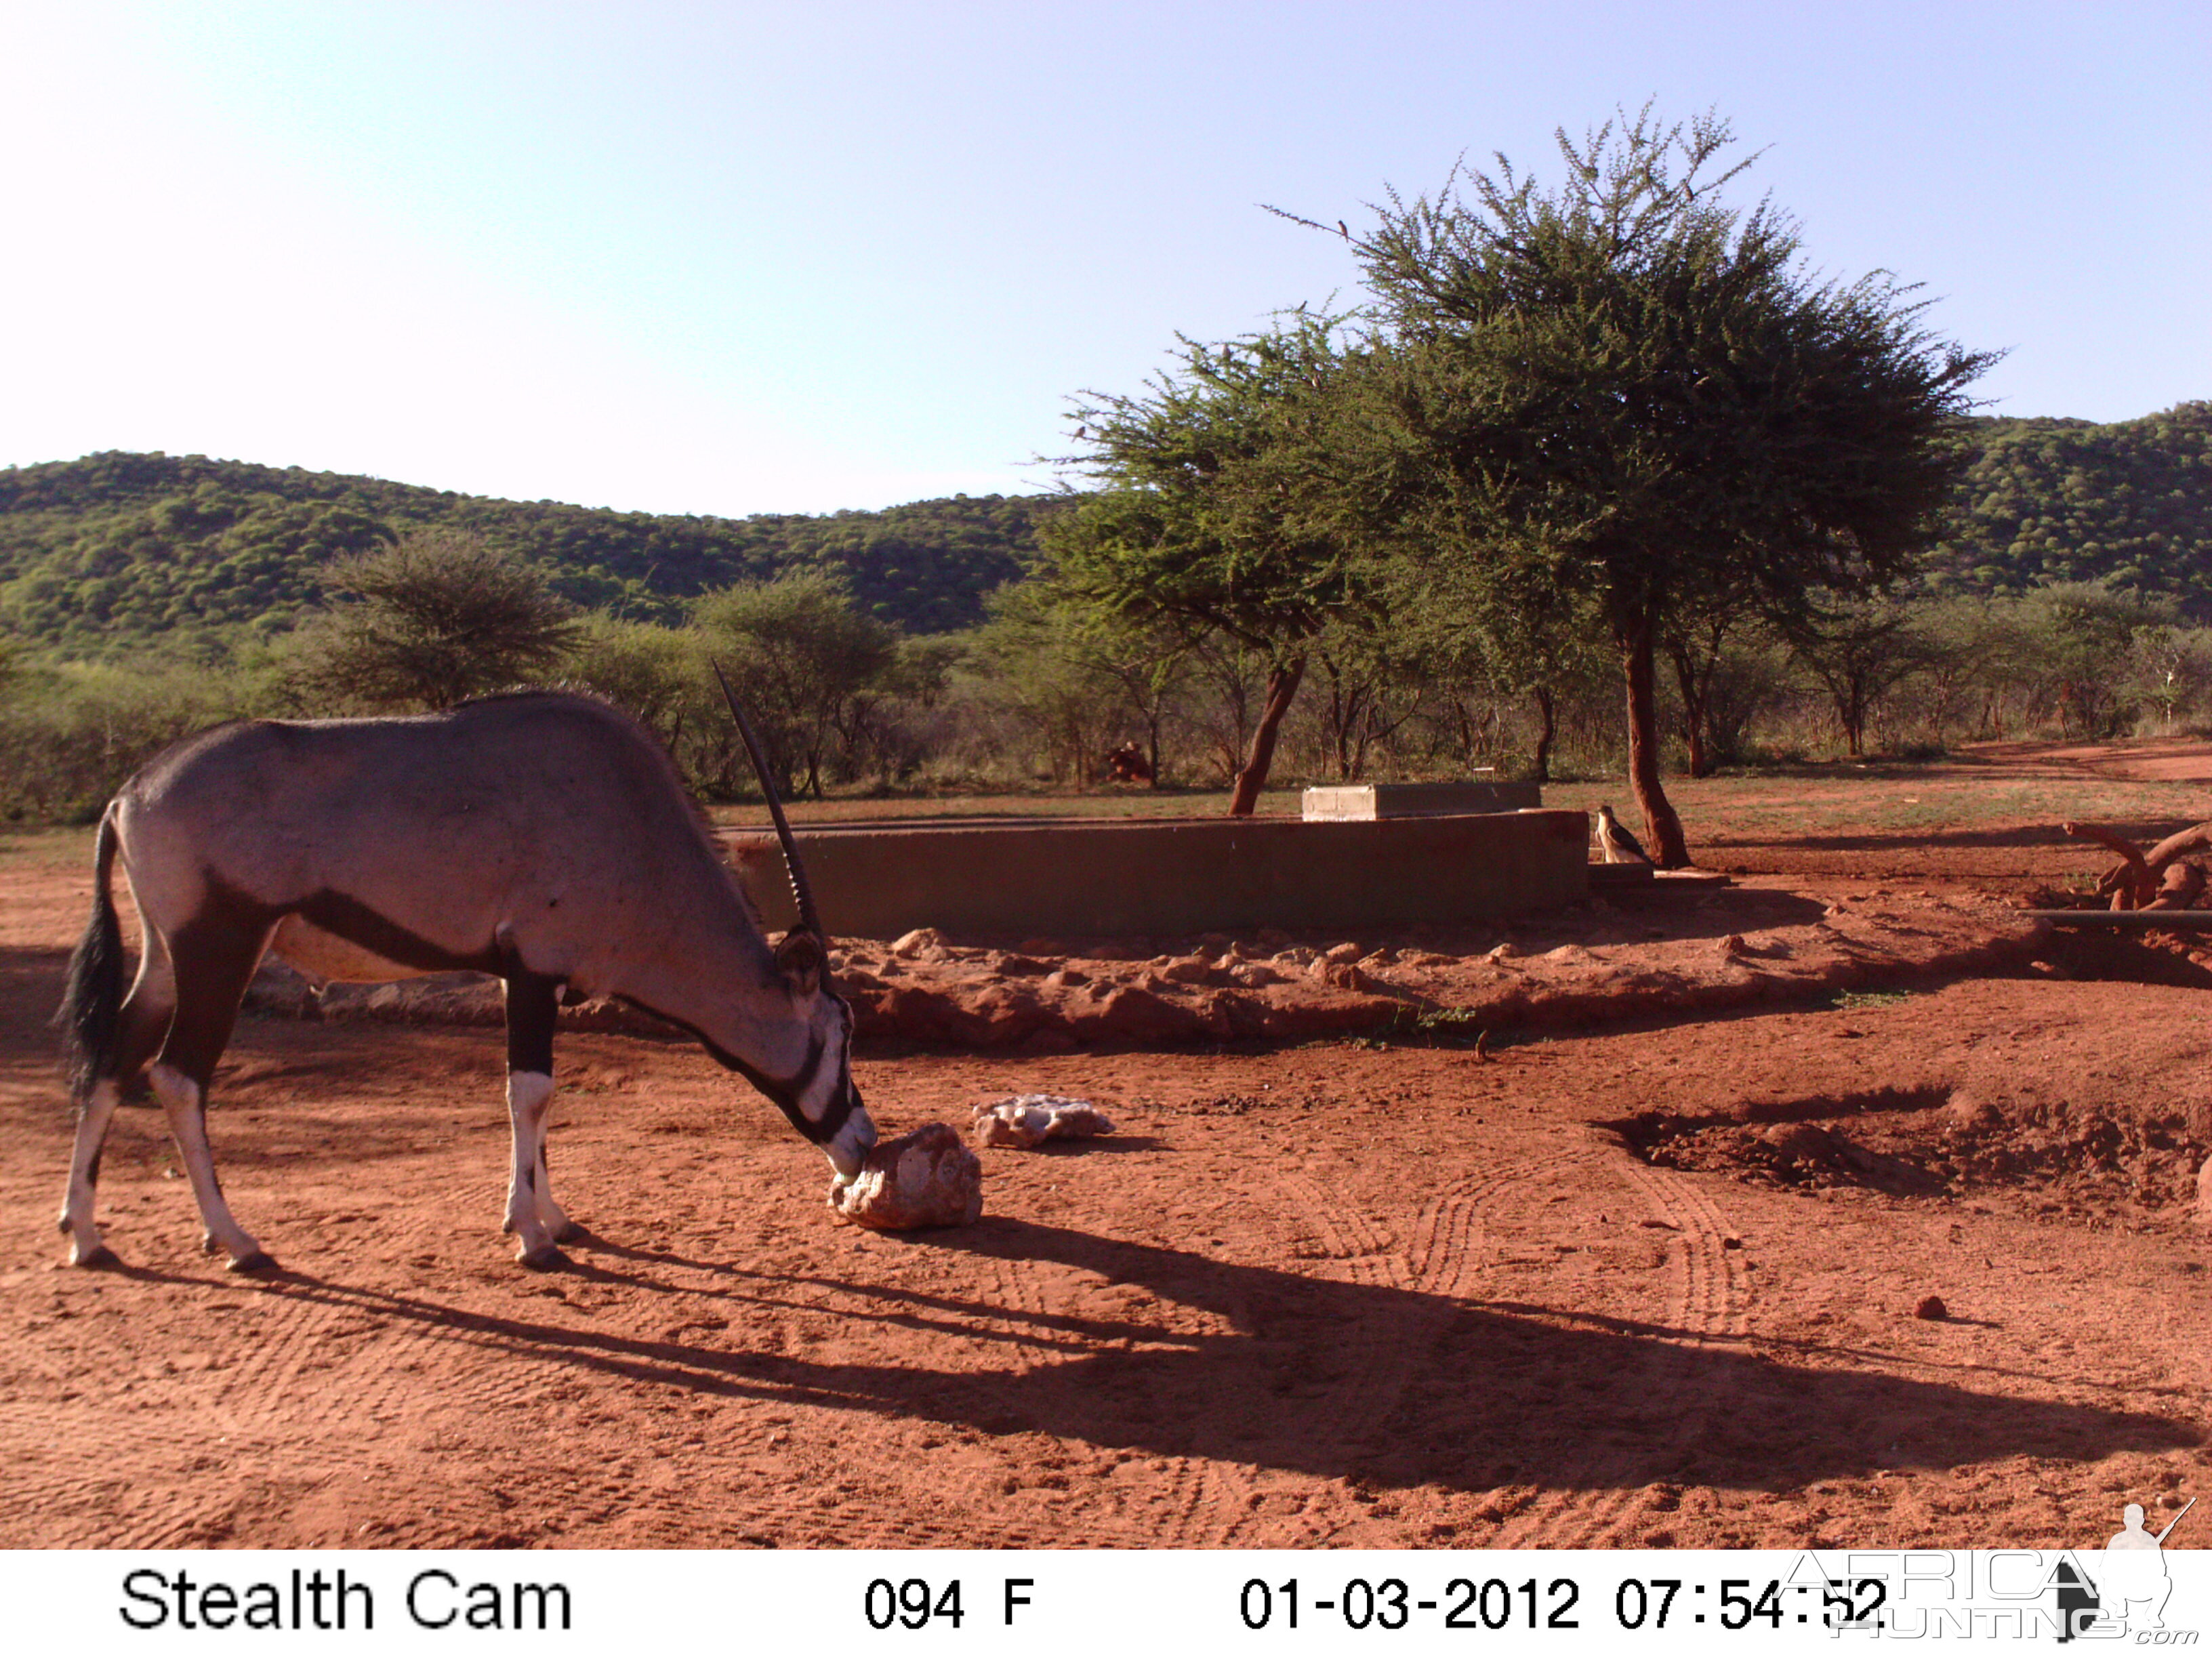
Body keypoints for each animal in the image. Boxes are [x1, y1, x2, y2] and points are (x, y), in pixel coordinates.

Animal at [52, 681, 872, 1283]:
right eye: (837, 1034)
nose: (864, 1140)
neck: (635, 826)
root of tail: (128, 795)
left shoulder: (522, 979)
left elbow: (538, 1103)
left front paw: (549, 1216)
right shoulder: (536, 968)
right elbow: (531, 1093)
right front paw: (534, 1239)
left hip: (167, 958)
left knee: (113, 1059)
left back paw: (86, 1235)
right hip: (221, 949)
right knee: (178, 1075)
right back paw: (236, 1240)